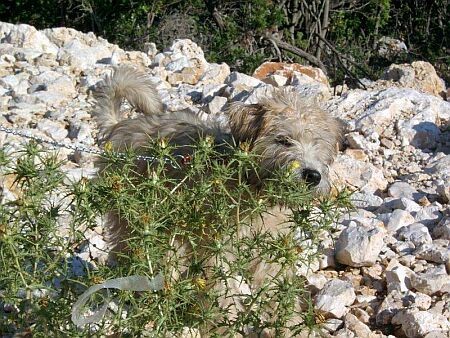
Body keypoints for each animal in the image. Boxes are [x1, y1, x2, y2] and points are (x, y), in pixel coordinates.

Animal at [92, 65, 342, 336]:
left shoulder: (268, 251)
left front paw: (292, 326)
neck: (249, 184)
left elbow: (278, 288)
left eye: (318, 143)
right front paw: (222, 325)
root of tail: (120, 125)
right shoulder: (218, 248)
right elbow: (221, 290)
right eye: (283, 140)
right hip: (136, 222)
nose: (312, 175)